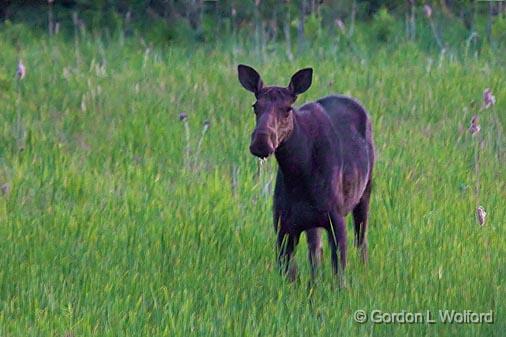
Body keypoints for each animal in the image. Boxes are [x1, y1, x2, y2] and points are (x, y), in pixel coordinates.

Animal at [238, 63, 376, 284]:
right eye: (255, 106)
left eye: (288, 109)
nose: (261, 142)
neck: (298, 175)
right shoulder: (283, 227)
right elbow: (290, 276)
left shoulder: (336, 219)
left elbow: (339, 275)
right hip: (311, 223)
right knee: (315, 251)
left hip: (365, 192)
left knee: (361, 240)